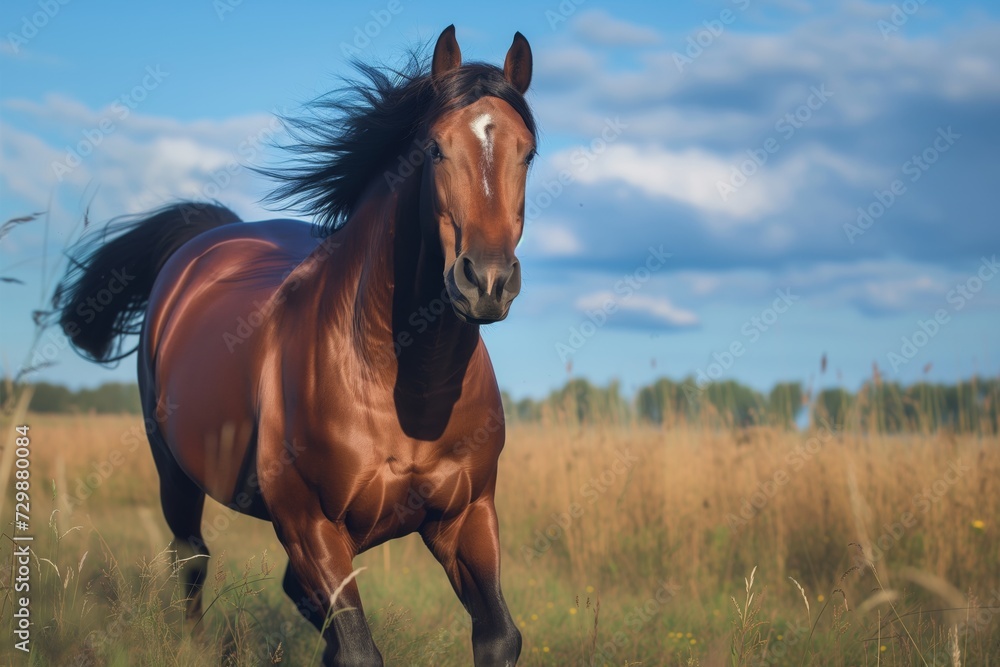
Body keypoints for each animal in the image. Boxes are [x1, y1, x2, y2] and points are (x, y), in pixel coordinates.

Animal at [53, 25, 536, 666]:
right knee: (191, 557)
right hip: (173, 468)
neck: (400, 383)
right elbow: (357, 650)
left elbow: (497, 635)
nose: (486, 281)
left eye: (527, 152)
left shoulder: (467, 515)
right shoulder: (311, 526)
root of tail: (208, 239)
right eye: (434, 149)